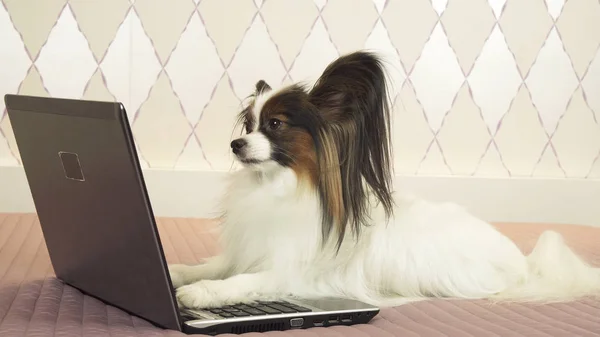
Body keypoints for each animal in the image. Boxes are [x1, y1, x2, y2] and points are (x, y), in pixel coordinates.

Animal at [170, 50, 600, 310]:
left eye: (274, 125)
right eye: (248, 125)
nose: (235, 144)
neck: (277, 187)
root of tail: (524, 261)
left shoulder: (290, 273)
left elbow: (242, 281)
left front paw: (201, 292)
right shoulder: (245, 251)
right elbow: (213, 264)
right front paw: (177, 272)